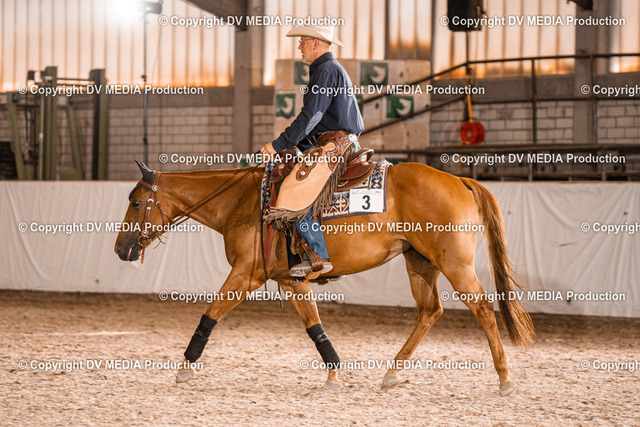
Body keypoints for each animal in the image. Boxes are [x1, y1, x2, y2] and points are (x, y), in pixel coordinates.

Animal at [114, 160, 534, 396]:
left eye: (135, 202)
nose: (121, 248)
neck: (241, 202)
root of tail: (459, 180)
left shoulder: (245, 275)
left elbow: (210, 315)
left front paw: (185, 367)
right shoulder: (293, 281)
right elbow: (314, 326)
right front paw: (333, 373)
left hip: (455, 265)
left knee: (483, 310)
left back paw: (504, 378)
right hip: (420, 263)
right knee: (430, 312)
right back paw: (391, 373)